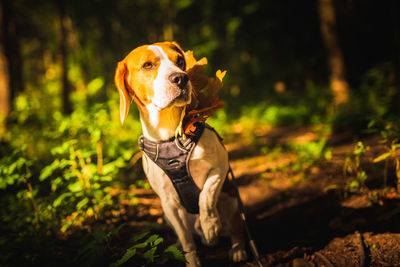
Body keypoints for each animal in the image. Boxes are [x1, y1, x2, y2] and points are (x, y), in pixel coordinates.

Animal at [114, 41, 247, 266]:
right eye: (148, 65)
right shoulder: (168, 202)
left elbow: (206, 195)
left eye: (180, 61)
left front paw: (211, 224)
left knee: (236, 228)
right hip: (170, 216)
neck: (171, 134)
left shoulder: (221, 165)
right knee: (186, 235)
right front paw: (191, 259)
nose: (181, 78)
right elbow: (187, 241)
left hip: (231, 201)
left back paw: (237, 248)